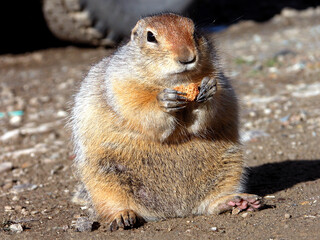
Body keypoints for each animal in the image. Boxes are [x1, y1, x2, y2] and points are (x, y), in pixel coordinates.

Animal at [69, 13, 260, 231]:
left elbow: (210, 108)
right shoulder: (122, 84)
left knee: (211, 204)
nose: (187, 57)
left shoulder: (221, 80)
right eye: (150, 37)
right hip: (103, 180)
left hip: (230, 168)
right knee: (111, 205)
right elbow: (139, 107)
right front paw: (164, 101)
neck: (176, 82)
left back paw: (237, 201)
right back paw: (123, 216)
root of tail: (176, 211)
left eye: (194, 30)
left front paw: (207, 91)